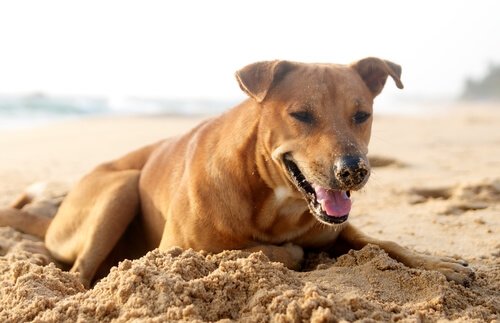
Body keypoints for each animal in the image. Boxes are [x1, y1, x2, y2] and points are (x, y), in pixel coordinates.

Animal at [0, 58, 474, 288]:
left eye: (362, 115)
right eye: (301, 115)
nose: (353, 171)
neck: (273, 197)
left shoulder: (338, 227)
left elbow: (386, 243)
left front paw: (439, 264)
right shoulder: (177, 249)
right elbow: (276, 251)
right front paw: (292, 253)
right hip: (120, 187)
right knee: (78, 274)